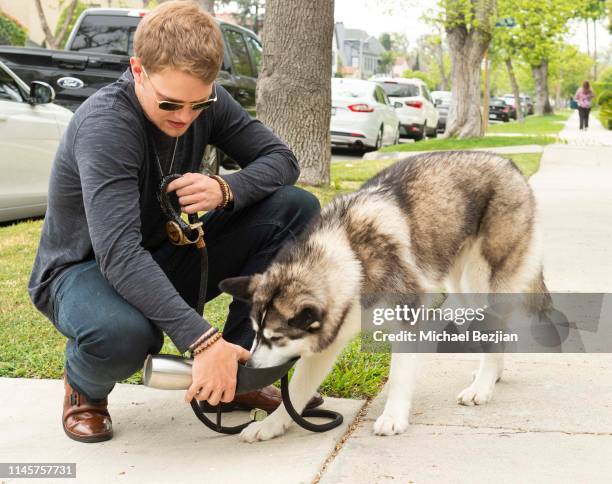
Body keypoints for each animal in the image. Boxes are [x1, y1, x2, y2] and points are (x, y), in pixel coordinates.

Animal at [221, 150, 548, 442]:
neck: (352, 258)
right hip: (464, 286)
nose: (247, 370)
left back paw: (482, 387)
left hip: (484, 277)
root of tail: (508, 164)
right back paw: (491, 376)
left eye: (276, 338)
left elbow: (400, 374)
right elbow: (299, 388)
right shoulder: (333, 334)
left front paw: (393, 417)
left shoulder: (407, 317)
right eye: (255, 333)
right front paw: (271, 425)